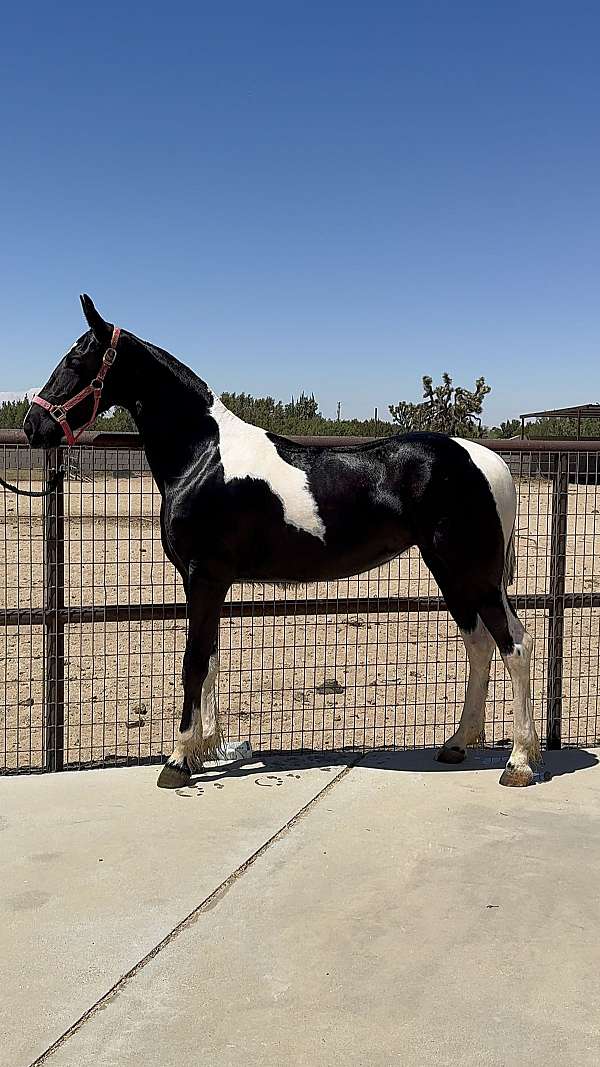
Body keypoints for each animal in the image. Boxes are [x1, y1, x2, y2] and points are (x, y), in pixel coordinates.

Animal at [24, 295, 541, 789]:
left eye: (75, 359)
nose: (33, 426)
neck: (204, 457)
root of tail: (488, 460)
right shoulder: (213, 583)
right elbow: (211, 658)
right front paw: (206, 747)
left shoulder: (203, 576)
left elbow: (194, 662)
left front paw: (178, 760)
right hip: (451, 571)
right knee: (480, 645)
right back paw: (457, 744)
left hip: (471, 572)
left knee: (514, 645)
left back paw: (518, 762)